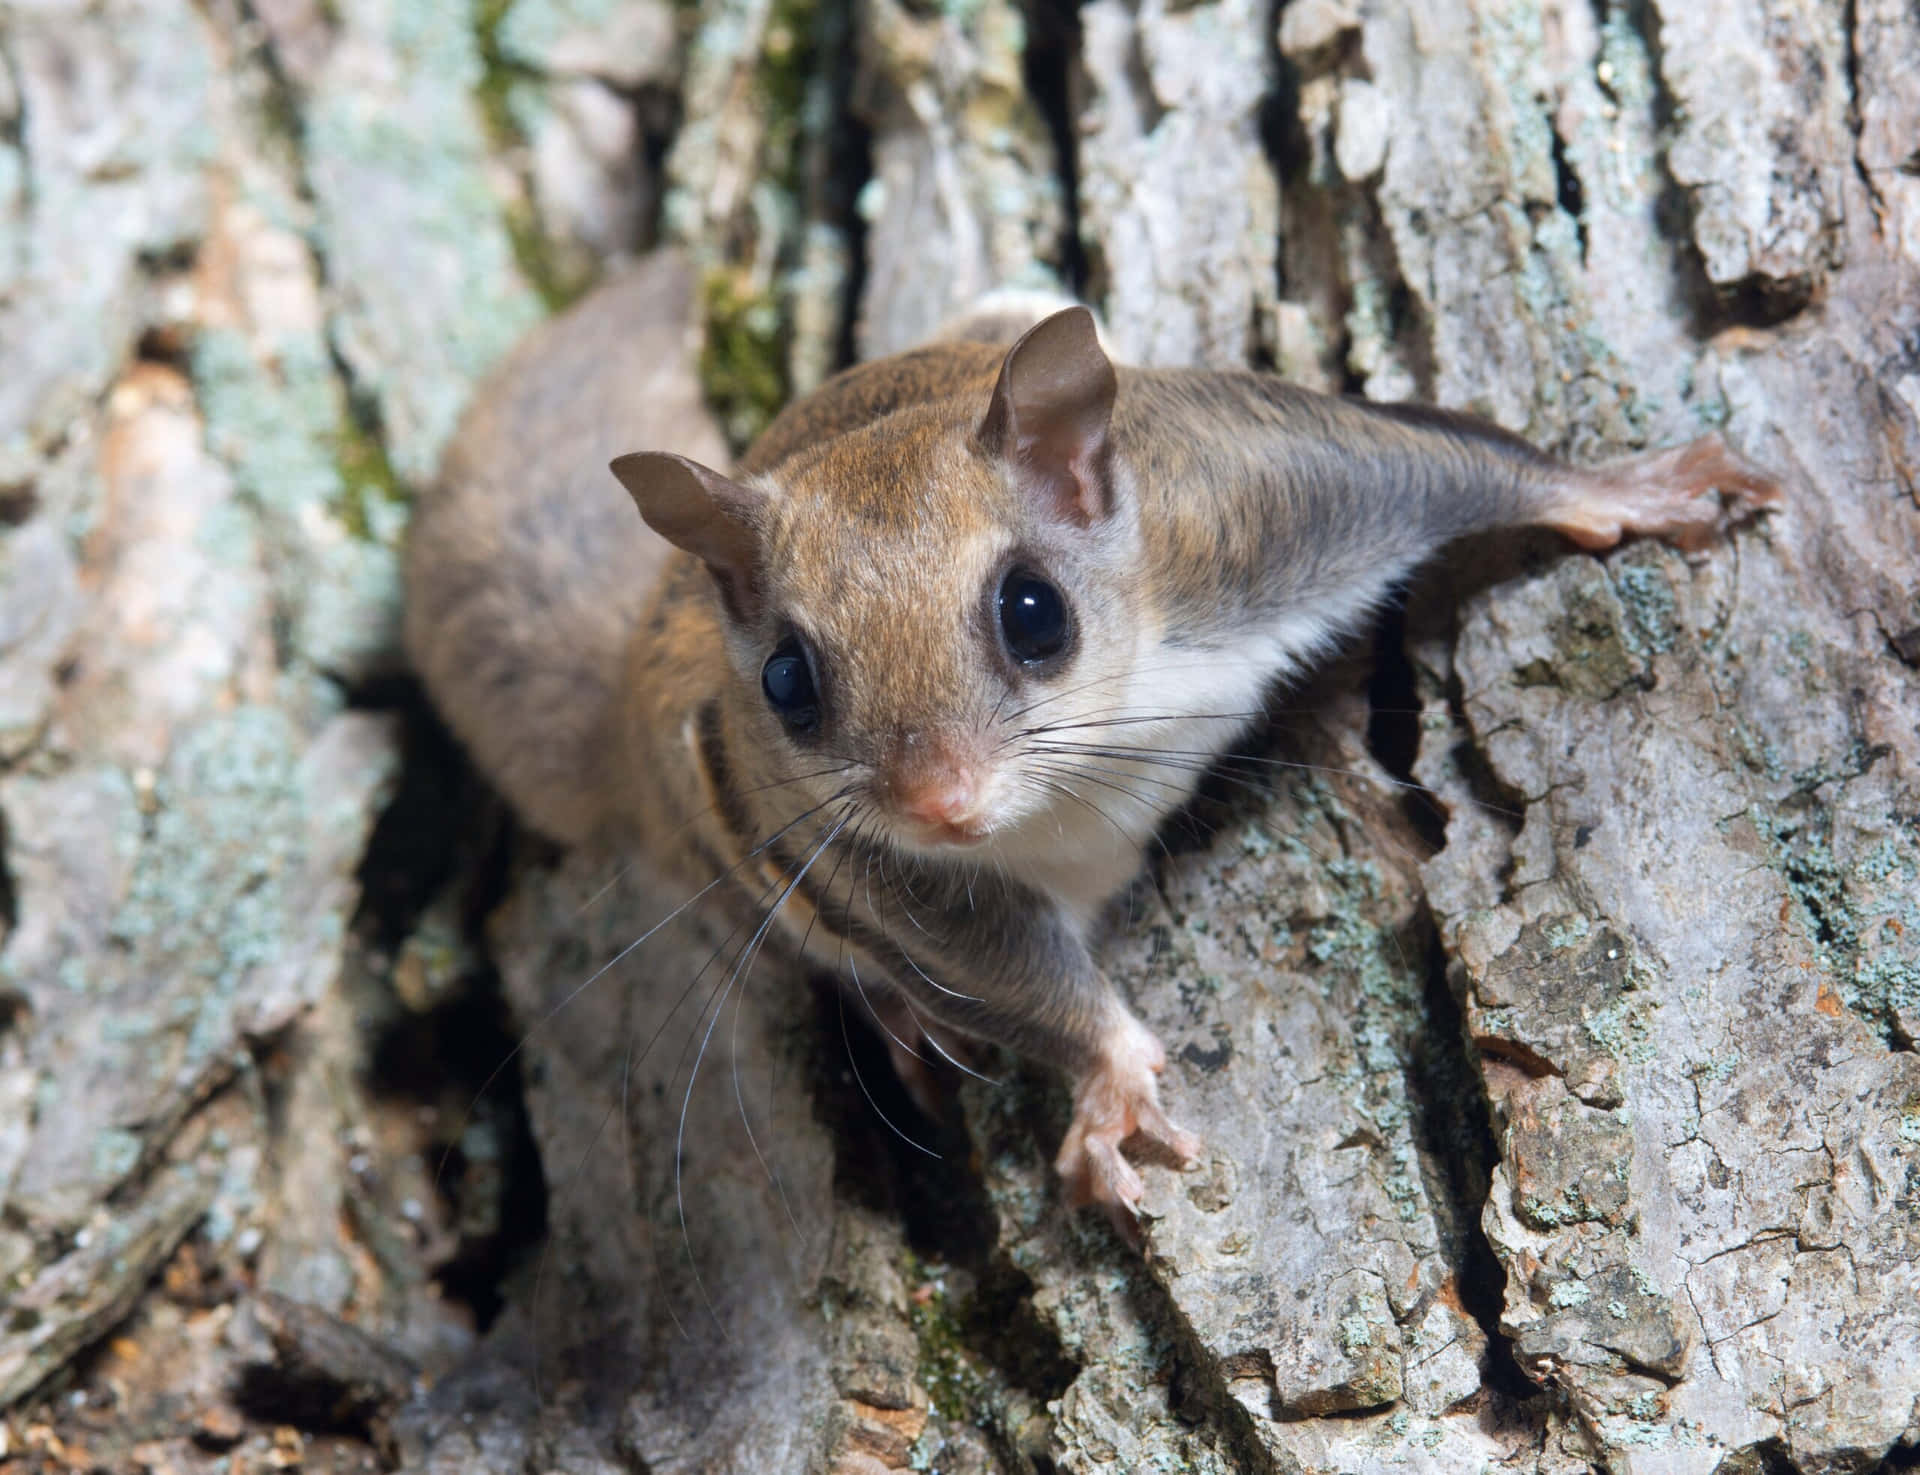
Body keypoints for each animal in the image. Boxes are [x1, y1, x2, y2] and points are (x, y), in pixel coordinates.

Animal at [405, 249, 1781, 1221]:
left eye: (1034, 611)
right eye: (788, 680)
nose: (943, 803)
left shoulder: (1249, 503)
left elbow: (1441, 460)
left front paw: (1629, 489)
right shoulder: (862, 862)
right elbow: (1004, 971)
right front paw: (1112, 1080)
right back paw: (898, 1020)